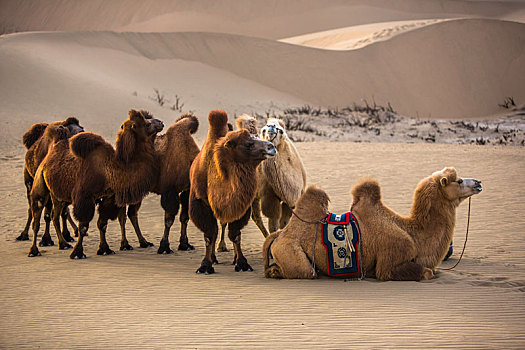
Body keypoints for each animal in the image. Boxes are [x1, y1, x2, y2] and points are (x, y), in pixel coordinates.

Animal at [17, 116, 84, 245]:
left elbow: (63, 212)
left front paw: (66, 236)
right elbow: (48, 214)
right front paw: (46, 239)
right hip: (29, 182)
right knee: (31, 208)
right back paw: (23, 235)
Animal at [28, 110, 158, 258]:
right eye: (147, 124)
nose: (161, 122)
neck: (109, 170)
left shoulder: (108, 197)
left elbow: (102, 224)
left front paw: (105, 249)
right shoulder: (84, 197)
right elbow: (83, 226)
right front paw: (78, 252)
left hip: (57, 195)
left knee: (55, 216)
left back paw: (63, 244)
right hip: (39, 184)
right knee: (36, 219)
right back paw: (34, 250)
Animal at [190, 109, 276, 274]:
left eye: (257, 136)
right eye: (248, 144)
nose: (271, 147)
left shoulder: (241, 205)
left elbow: (236, 235)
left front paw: (242, 263)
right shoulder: (200, 203)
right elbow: (209, 235)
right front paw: (205, 265)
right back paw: (214, 257)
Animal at [264, 167, 482, 282]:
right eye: (458, 180)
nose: (478, 182)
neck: (412, 234)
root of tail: (279, 235)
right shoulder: (389, 263)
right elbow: (426, 272)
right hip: (292, 252)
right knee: (305, 271)